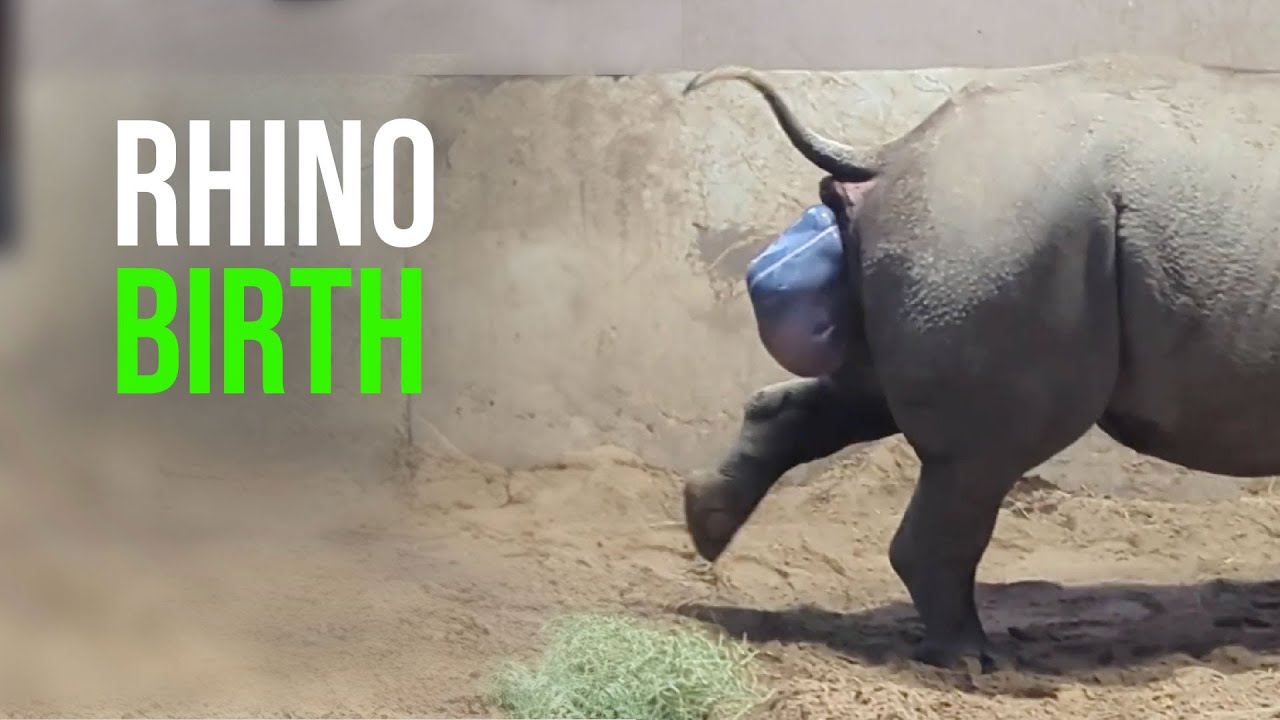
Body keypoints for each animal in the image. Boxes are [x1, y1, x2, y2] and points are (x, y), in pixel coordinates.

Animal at [680, 53, 1280, 670]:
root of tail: (902, 149)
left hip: (967, 237)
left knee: (872, 396)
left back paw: (706, 522)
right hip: (997, 228)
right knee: (983, 454)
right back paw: (974, 660)